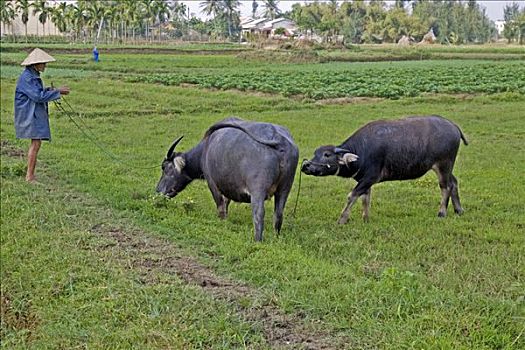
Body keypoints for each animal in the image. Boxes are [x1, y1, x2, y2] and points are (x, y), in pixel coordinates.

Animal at [157, 117, 298, 241]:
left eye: (165, 168)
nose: (158, 190)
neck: (205, 148)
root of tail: (280, 140)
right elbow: (226, 203)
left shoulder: (212, 183)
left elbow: (220, 206)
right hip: (285, 189)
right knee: (278, 214)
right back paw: (276, 237)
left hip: (258, 191)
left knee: (258, 214)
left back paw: (257, 239)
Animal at [300, 115, 468, 224]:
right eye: (315, 153)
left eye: (327, 155)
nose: (306, 166)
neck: (361, 152)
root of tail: (453, 126)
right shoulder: (365, 181)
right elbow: (365, 199)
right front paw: (366, 218)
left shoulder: (370, 178)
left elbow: (351, 196)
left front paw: (342, 219)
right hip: (448, 167)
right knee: (454, 182)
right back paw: (458, 210)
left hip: (443, 165)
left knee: (445, 186)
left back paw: (442, 212)